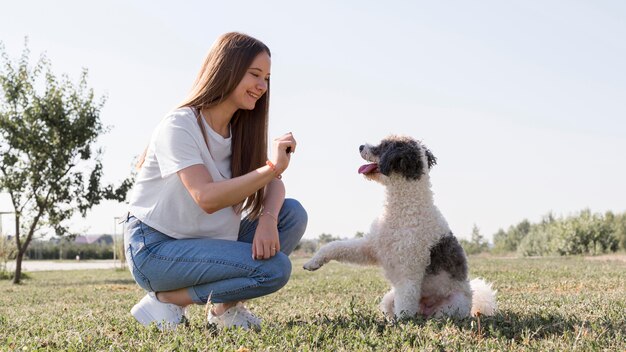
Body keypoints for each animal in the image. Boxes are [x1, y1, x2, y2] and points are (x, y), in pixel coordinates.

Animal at [300, 135, 494, 320]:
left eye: (384, 146)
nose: (361, 146)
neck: (404, 208)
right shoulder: (371, 247)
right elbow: (336, 246)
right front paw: (313, 262)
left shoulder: (408, 271)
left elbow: (405, 306)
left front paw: (402, 325)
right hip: (388, 299)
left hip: (452, 306)